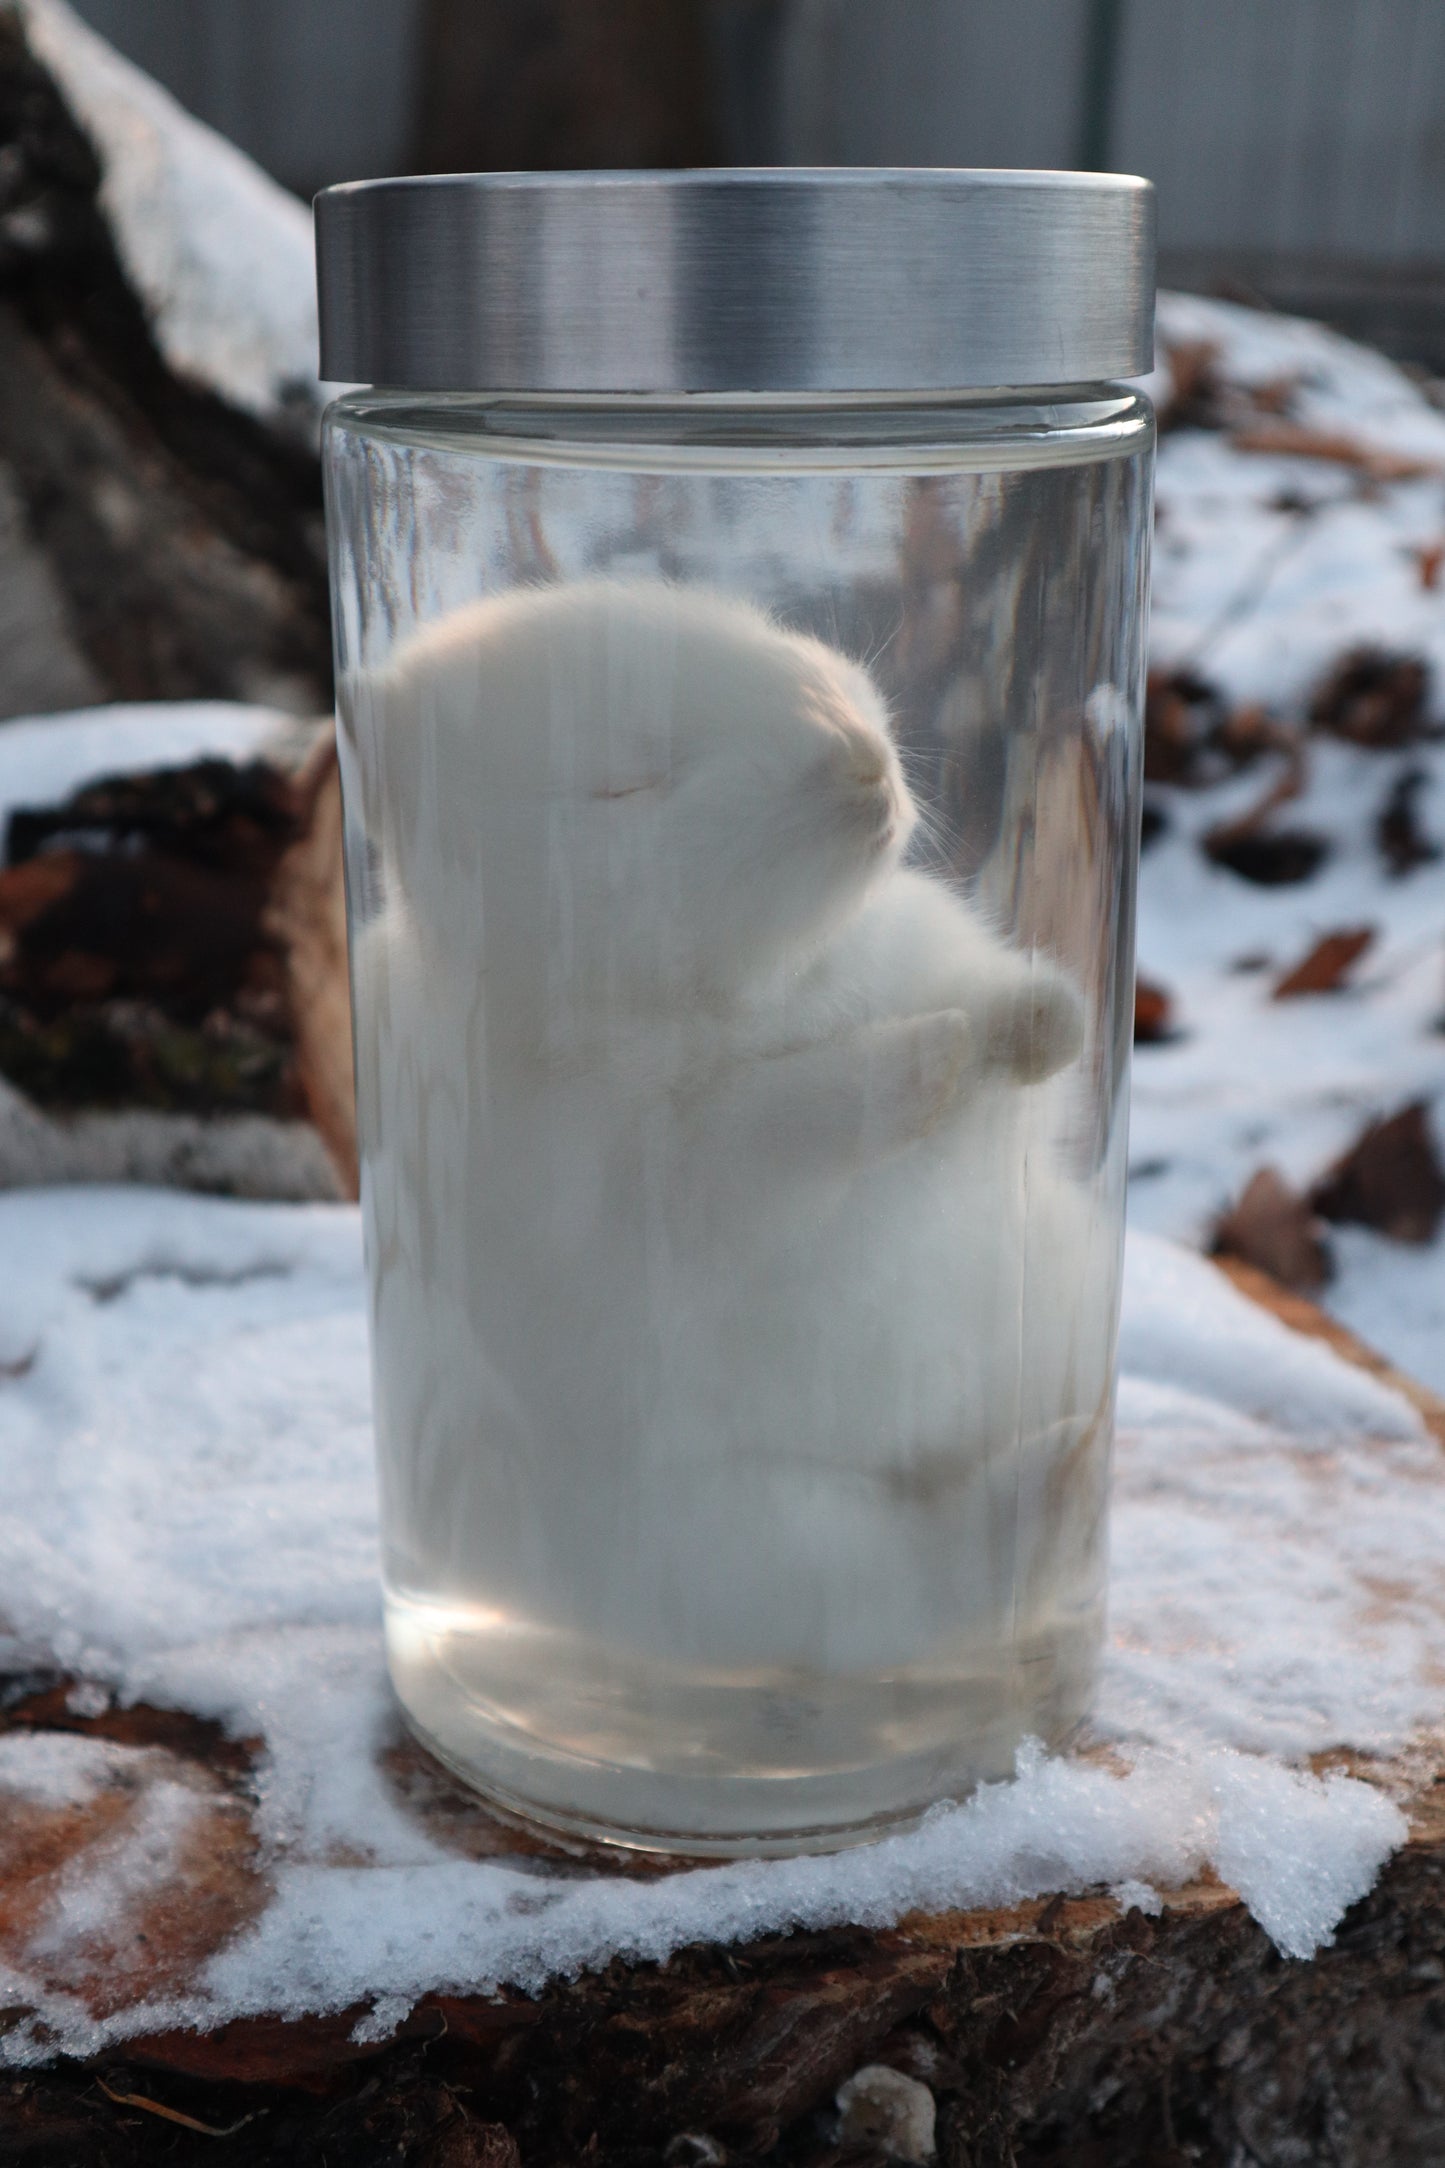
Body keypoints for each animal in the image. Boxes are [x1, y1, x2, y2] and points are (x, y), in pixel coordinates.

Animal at [343, 580, 1107, 1675]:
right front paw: (923, 1057)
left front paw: (1041, 1018)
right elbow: (786, 1127)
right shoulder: (663, 1182)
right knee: (930, 1579)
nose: (860, 761)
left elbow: (1016, 1060)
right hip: (759, 1546)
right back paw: (1060, 1473)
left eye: (776, 638)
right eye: (623, 785)